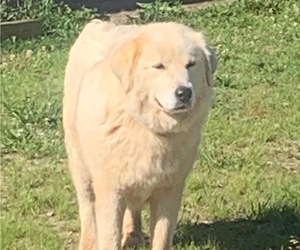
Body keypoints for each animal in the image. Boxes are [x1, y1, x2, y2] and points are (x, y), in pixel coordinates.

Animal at [63, 20, 217, 250]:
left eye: (191, 64)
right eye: (159, 66)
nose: (184, 93)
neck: (145, 126)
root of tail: (97, 23)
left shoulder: (169, 191)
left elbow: (161, 239)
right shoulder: (110, 191)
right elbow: (109, 237)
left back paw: (133, 235)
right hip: (80, 165)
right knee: (87, 207)